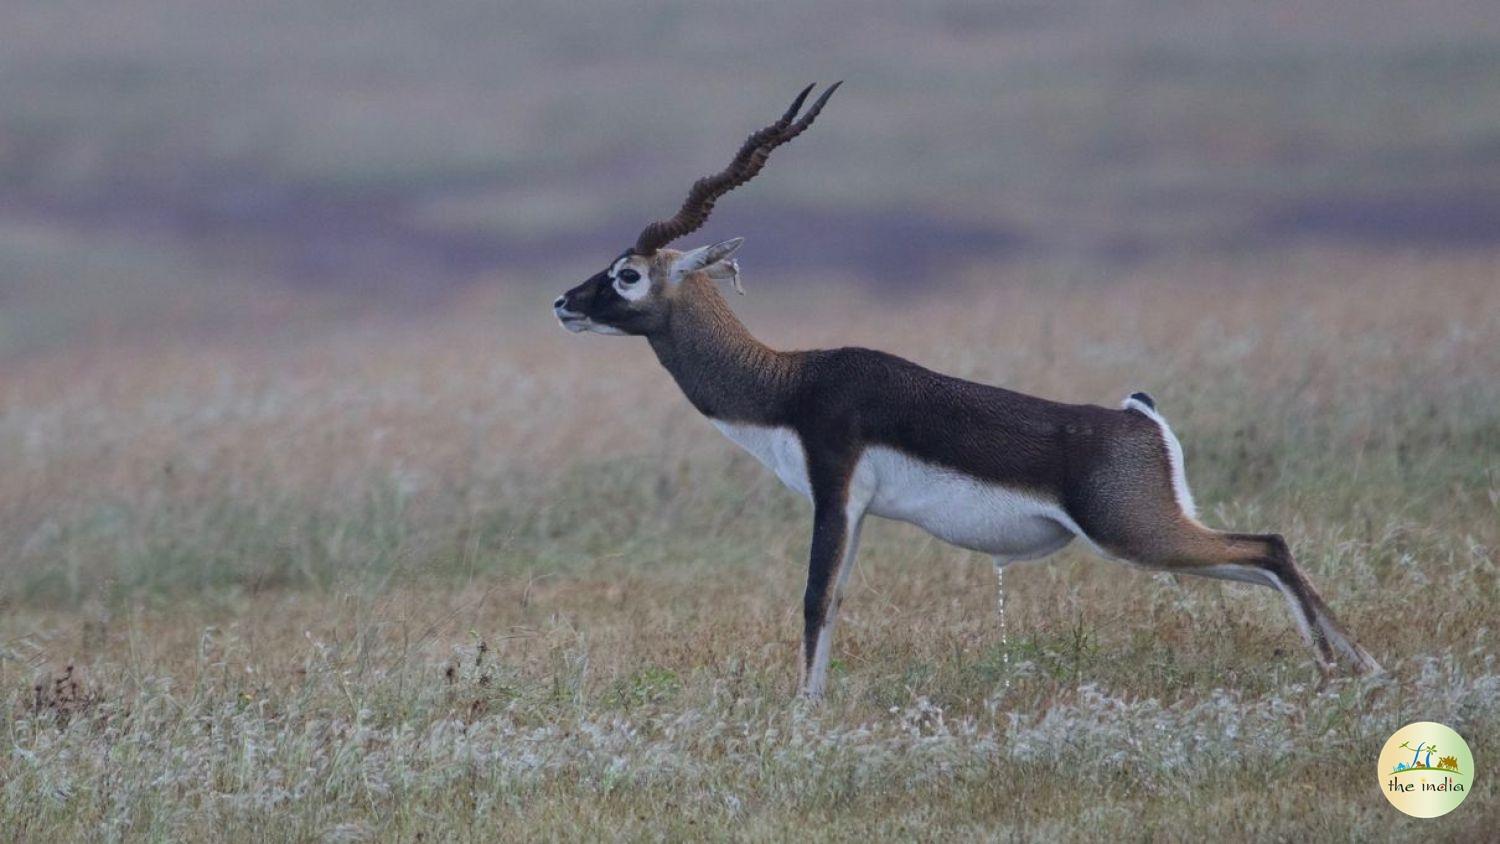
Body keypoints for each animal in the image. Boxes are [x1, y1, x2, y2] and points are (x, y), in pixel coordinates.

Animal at [555, 82, 1380, 695]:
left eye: (627, 274)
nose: (563, 302)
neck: (789, 382)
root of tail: (1138, 420)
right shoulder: (855, 511)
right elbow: (837, 599)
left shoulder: (834, 491)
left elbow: (814, 598)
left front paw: (801, 714)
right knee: (1268, 553)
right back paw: (1364, 670)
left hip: (1135, 533)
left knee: (1269, 545)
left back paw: (1339, 668)